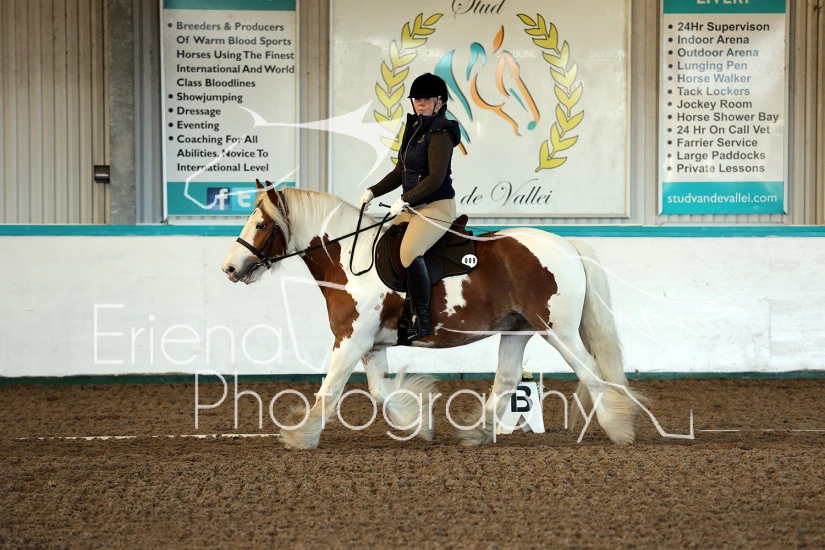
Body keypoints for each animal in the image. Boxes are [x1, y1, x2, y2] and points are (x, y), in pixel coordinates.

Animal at [220, 181, 646, 449]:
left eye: (261, 224)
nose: (230, 268)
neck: (350, 259)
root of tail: (566, 245)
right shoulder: (371, 345)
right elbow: (381, 393)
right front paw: (418, 424)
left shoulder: (350, 340)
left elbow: (330, 390)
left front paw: (300, 436)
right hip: (517, 330)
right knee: (508, 381)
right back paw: (477, 434)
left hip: (557, 330)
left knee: (590, 372)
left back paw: (619, 428)